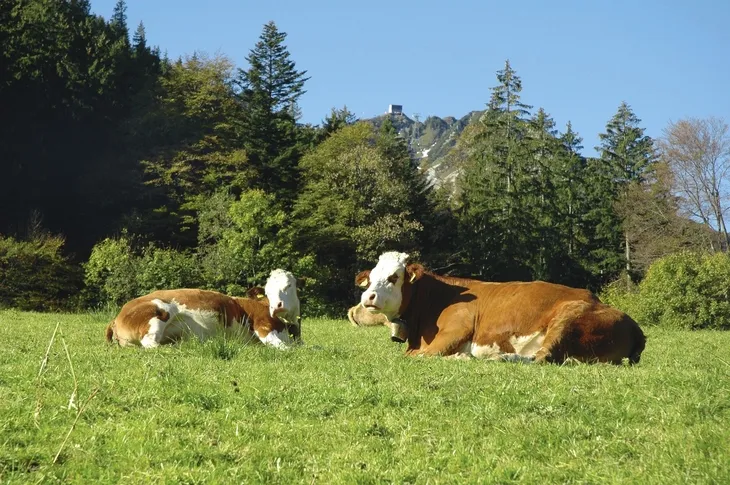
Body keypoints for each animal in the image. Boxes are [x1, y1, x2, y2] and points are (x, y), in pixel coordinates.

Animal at [356, 251, 646, 364]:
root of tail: (634, 325)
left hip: (567, 317)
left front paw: (460, 356)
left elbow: (421, 355)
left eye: (393, 277)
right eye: (371, 277)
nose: (368, 297)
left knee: (543, 357)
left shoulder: (455, 329)